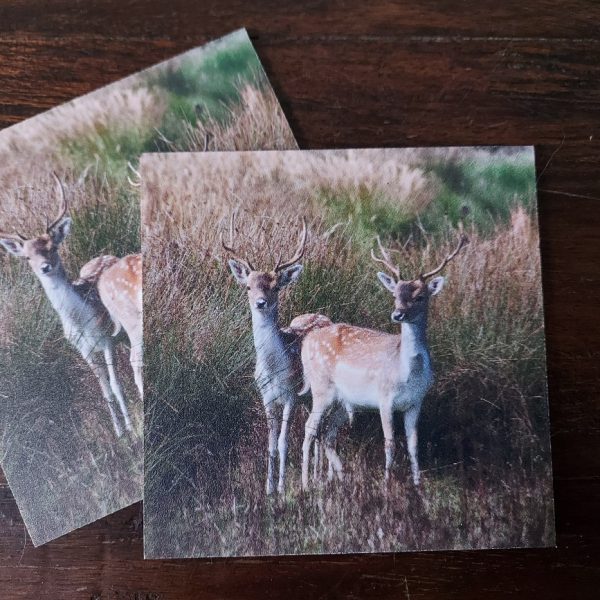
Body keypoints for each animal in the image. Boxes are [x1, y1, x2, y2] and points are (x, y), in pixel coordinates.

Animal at [0, 173, 137, 436]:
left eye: (52, 247)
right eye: (27, 257)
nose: (45, 267)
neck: (81, 320)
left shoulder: (106, 339)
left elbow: (116, 385)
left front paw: (132, 431)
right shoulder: (83, 349)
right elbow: (105, 391)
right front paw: (119, 433)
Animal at [302, 232, 466, 490]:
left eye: (420, 296)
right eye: (395, 294)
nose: (397, 314)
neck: (407, 373)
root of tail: (306, 340)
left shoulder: (416, 402)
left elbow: (413, 444)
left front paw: (417, 485)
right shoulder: (384, 398)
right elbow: (390, 442)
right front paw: (388, 484)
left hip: (343, 401)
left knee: (327, 433)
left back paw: (336, 478)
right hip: (321, 388)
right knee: (309, 428)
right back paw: (304, 484)